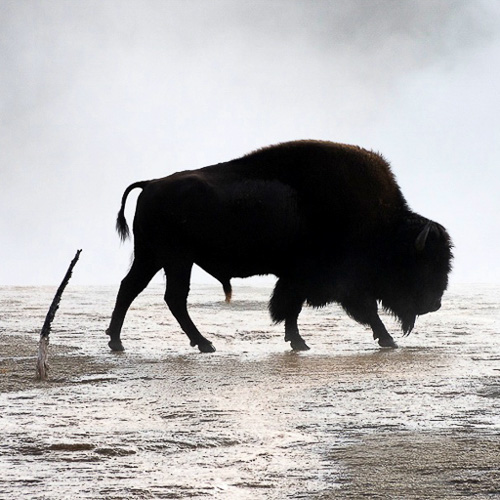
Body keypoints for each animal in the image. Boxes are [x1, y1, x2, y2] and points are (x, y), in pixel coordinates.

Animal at [106, 140, 454, 352]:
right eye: (421, 263)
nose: (434, 303)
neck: (382, 223)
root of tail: (151, 184)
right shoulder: (327, 279)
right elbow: (357, 309)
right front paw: (387, 340)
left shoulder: (301, 278)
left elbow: (293, 308)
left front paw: (297, 342)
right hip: (173, 259)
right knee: (168, 297)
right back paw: (202, 344)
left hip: (157, 258)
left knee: (135, 289)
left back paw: (119, 341)